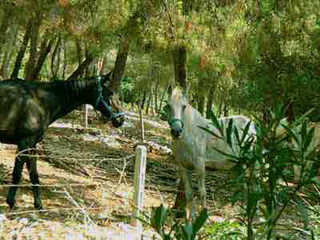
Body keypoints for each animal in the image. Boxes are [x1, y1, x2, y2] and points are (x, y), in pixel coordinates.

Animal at [0, 72, 124, 209]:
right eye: (110, 94)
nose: (121, 119)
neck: (40, 101)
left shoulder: (32, 145)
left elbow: (34, 174)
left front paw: (38, 205)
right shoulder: (25, 143)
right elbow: (17, 173)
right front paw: (11, 202)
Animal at [168, 87, 255, 218]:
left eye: (184, 107)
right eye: (168, 106)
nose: (176, 131)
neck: (190, 133)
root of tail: (253, 126)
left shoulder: (199, 165)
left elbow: (202, 192)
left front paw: (203, 217)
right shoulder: (183, 167)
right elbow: (189, 193)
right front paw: (192, 218)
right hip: (239, 166)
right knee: (243, 189)